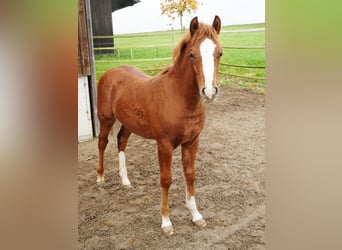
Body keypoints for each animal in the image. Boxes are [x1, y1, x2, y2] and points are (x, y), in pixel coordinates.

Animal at [96, 15, 223, 234]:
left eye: (220, 53)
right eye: (192, 54)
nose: (209, 92)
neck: (178, 98)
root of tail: (109, 72)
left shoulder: (192, 142)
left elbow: (190, 175)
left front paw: (196, 216)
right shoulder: (164, 144)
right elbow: (166, 179)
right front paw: (166, 222)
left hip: (129, 123)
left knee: (121, 142)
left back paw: (125, 181)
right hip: (106, 119)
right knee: (103, 143)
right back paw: (100, 178)